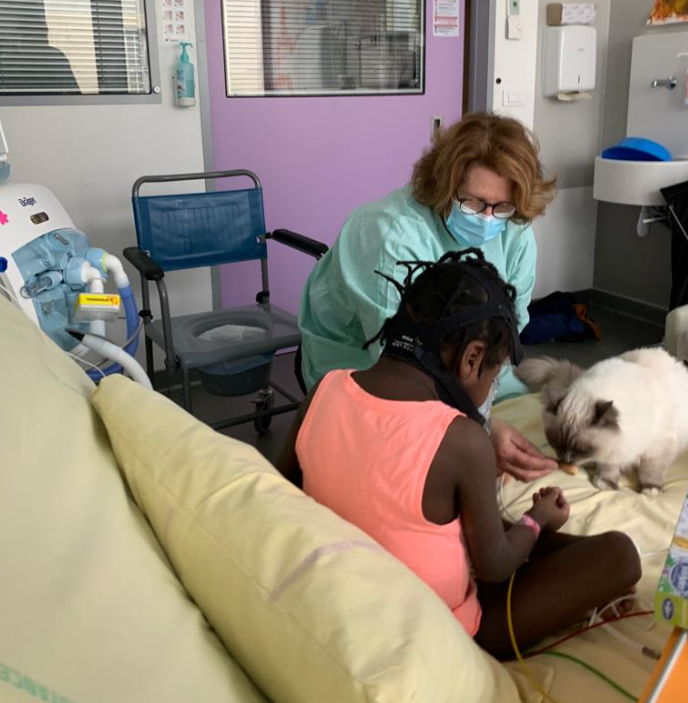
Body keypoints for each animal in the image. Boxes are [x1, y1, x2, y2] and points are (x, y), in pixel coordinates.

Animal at [516, 348, 688, 496]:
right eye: (556, 443)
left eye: (579, 449)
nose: (565, 460)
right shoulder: (612, 449)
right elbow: (609, 467)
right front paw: (606, 482)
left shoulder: (657, 449)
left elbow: (651, 471)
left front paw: (650, 489)